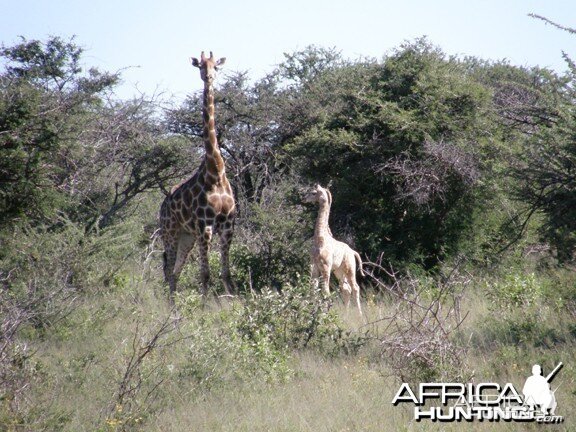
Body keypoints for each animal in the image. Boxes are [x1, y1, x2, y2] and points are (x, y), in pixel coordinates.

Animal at [159, 51, 235, 300]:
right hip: (171, 231)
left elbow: (226, 274)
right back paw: (170, 309)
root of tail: (162, 206)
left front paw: (237, 302)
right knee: (167, 269)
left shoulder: (228, 225)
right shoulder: (205, 226)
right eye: (200, 66)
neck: (216, 172)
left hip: (187, 237)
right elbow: (205, 274)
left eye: (216, 67)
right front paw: (205, 308)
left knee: (175, 272)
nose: (208, 77)